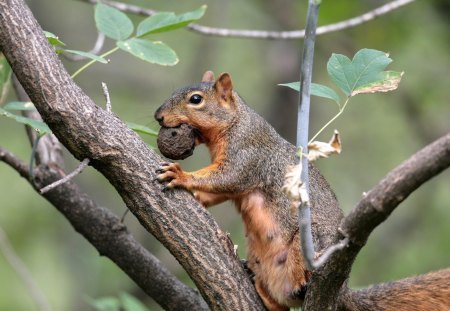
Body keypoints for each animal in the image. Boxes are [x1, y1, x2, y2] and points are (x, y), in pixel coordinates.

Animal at [155, 72, 450, 310]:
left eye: (196, 99)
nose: (158, 116)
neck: (235, 123)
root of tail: (343, 292)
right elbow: (218, 191)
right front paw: (193, 192)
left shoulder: (248, 156)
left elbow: (227, 179)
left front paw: (181, 175)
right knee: (279, 305)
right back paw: (256, 282)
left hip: (308, 242)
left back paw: (301, 286)